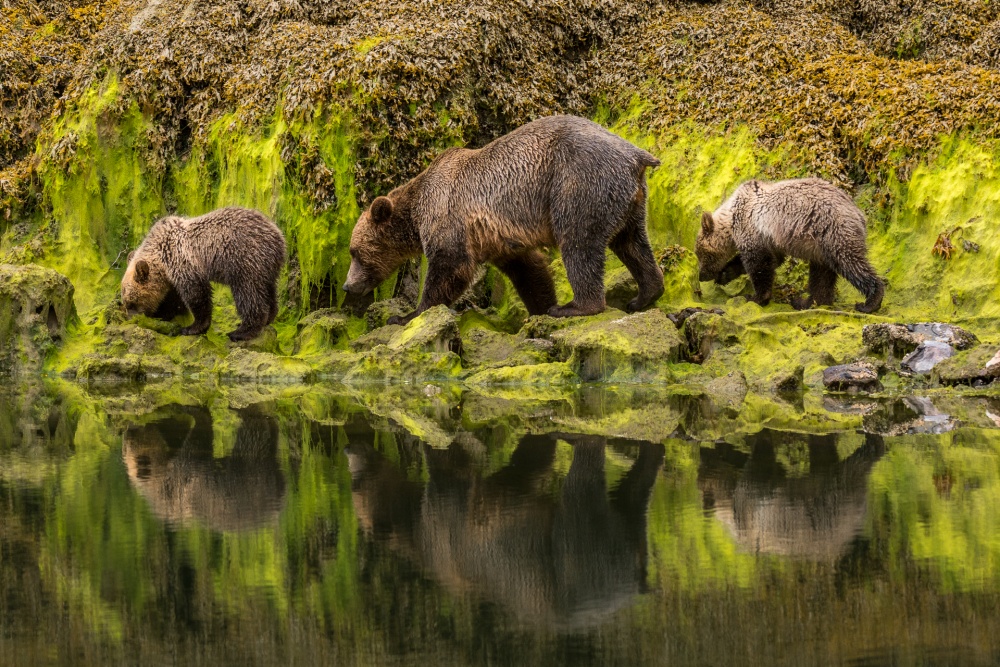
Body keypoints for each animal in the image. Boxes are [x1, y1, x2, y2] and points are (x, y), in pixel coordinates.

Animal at [121, 207, 288, 342]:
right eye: (126, 301)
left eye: (131, 302)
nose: (130, 317)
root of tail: (278, 237)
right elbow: (175, 298)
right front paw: (165, 313)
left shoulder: (182, 260)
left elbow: (196, 294)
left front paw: (191, 327)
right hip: (266, 267)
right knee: (268, 289)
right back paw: (269, 317)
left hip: (245, 260)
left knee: (248, 294)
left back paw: (241, 331)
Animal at [342, 115, 664, 326]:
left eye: (355, 252)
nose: (347, 286)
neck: (416, 208)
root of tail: (637, 155)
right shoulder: (500, 239)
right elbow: (529, 270)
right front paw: (541, 305)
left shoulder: (450, 213)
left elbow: (450, 265)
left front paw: (406, 314)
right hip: (628, 201)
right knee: (633, 244)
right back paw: (644, 295)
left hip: (577, 183)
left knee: (579, 244)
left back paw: (575, 307)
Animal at [696, 177, 884, 314]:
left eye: (701, 254)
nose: (701, 275)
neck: (730, 219)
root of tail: (858, 213)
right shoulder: (771, 240)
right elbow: (771, 260)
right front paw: (724, 274)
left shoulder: (752, 227)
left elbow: (758, 263)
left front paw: (755, 297)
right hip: (821, 247)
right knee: (822, 274)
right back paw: (806, 302)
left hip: (833, 230)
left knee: (850, 262)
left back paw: (870, 302)